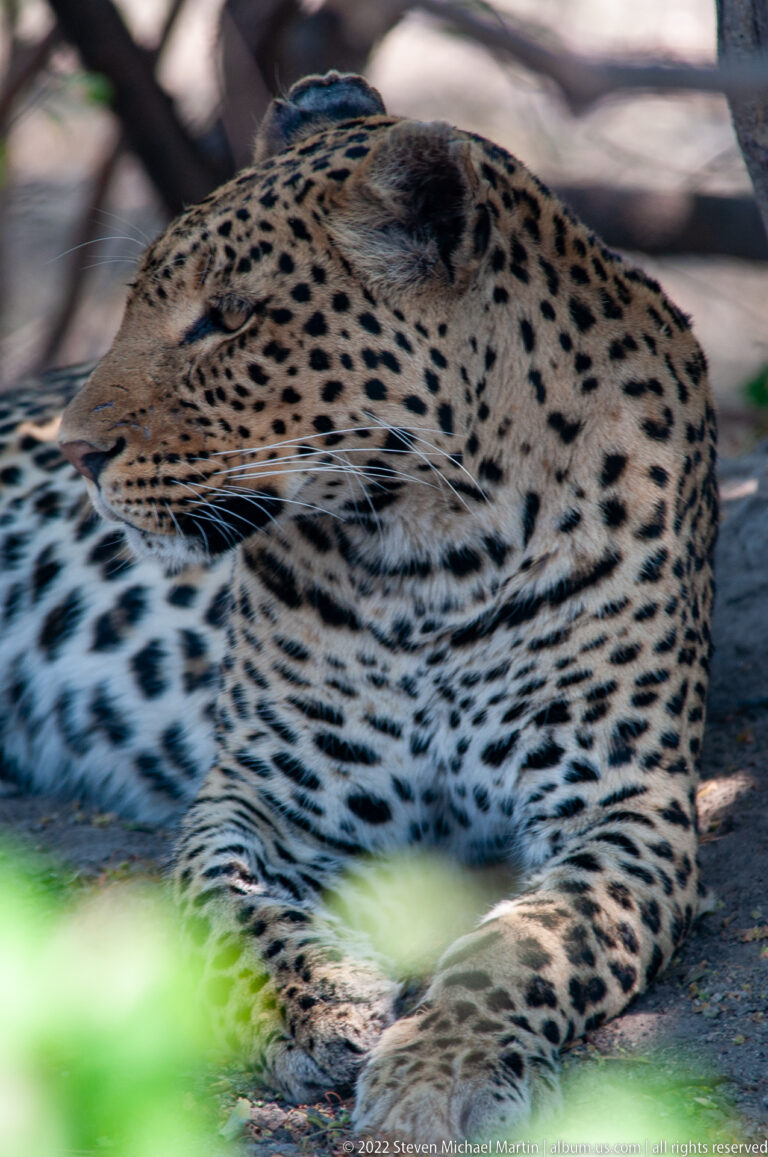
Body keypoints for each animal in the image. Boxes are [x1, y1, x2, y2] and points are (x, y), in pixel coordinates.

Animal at [0, 72, 717, 1142]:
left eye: (227, 319)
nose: (76, 449)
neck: (439, 551)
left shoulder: (625, 799)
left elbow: (527, 942)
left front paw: (442, 1069)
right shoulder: (260, 786)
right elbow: (228, 903)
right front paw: (316, 1005)